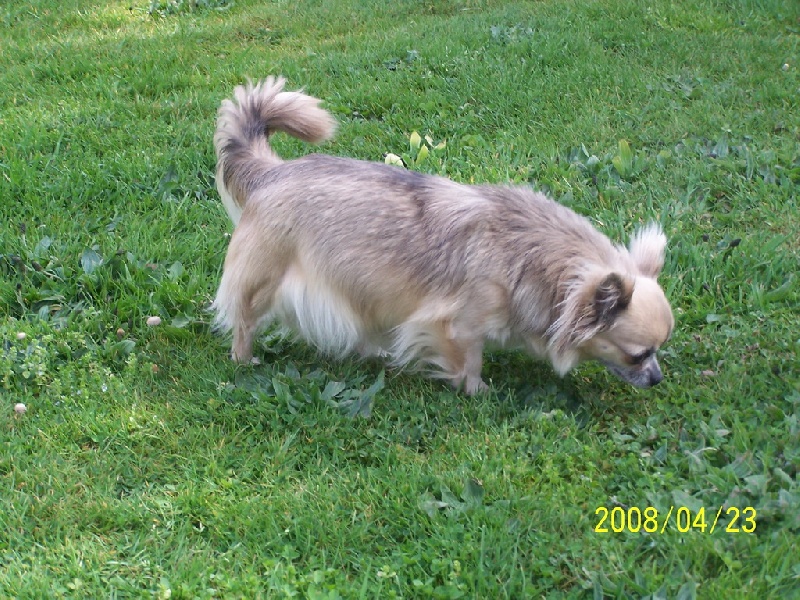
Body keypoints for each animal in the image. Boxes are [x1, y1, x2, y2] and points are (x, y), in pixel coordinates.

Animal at [212, 77, 674, 394]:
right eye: (638, 354)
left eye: (655, 352)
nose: (657, 379)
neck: (525, 254)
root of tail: (272, 172)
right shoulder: (457, 325)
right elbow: (469, 360)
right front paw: (478, 391)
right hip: (264, 282)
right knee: (245, 321)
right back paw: (244, 360)